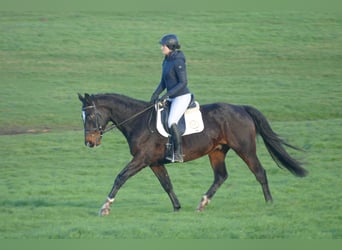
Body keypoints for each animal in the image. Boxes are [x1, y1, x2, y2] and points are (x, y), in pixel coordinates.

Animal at [77, 93, 308, 216]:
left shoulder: (141, 159)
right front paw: (177, 207)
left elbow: (120, 177)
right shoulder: (153, 162)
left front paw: (105, 207)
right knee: (221, 176)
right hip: (217, 152)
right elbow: (167, 184)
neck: (139, 121)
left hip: (245, 149)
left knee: (259, 172)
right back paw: (202, 203)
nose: (89, 143)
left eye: (91, 116)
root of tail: (241, 108)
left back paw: (269, 203)